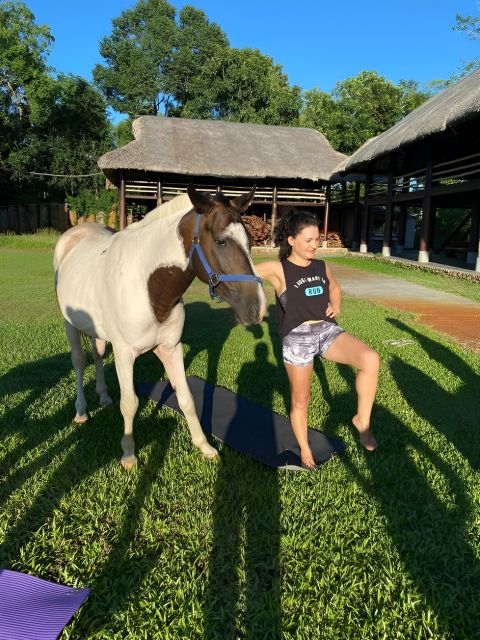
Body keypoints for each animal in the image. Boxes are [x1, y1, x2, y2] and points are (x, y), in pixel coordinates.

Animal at [54, 185, 266, 469]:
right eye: (221, 241)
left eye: (250, 242)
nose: (257, 308)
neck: (149, 288)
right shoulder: (124, 355)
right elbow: (130, 403)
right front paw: (128, 454)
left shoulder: (170, 348)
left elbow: (186, 398)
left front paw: (204, 446)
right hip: (70, 326)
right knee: (78, 362)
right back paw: (80, 411)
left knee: (97, 355)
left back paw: (104, 397)